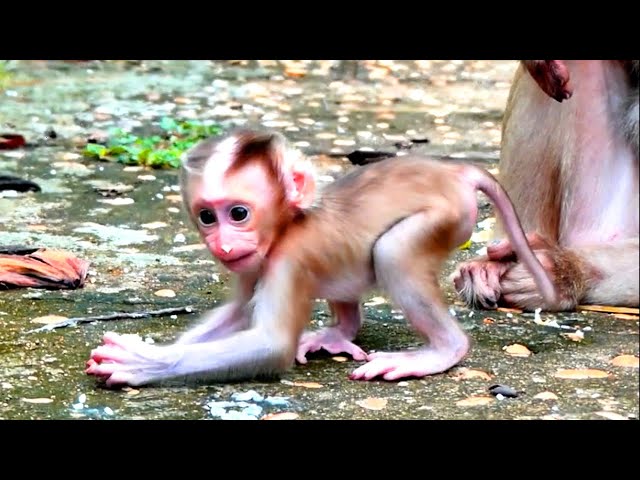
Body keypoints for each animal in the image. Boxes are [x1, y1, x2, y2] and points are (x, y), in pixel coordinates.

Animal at [85, 128, 557, 387]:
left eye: (238, 213)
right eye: (206, 216)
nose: (223, 244)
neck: (285, 226)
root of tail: (453, 169)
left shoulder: (289, 258)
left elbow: (270, 343)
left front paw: (143, 361)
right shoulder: (251, 264)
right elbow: (238, 312)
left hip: (449, 216)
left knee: (392, 251)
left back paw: (441, 351)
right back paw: (336, 333)